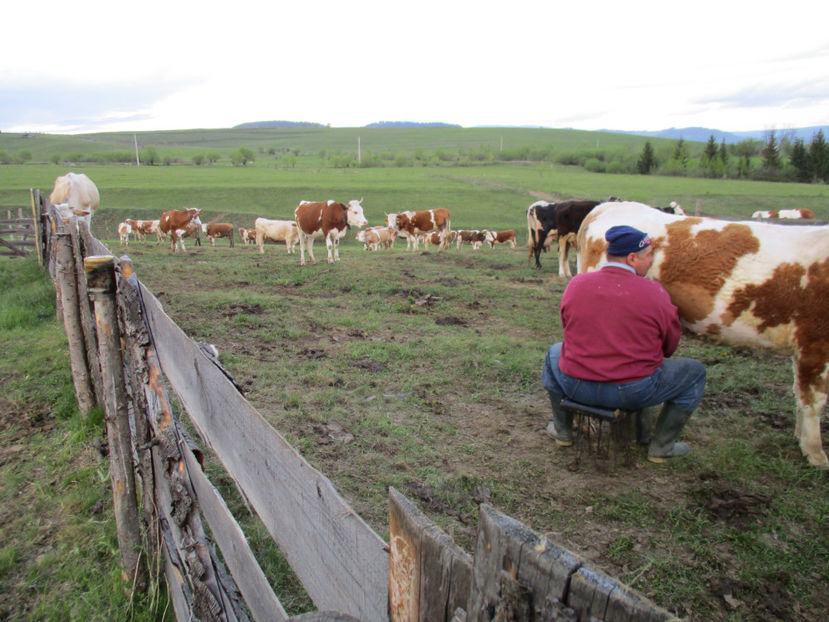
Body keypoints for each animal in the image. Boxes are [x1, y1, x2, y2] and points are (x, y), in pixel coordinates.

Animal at [576, 200, 828, 468]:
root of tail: (610, 206)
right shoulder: (815, 343)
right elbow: (814, 401)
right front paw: (816, 454)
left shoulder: (803, 347)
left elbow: (800, 395)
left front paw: (801, 440)